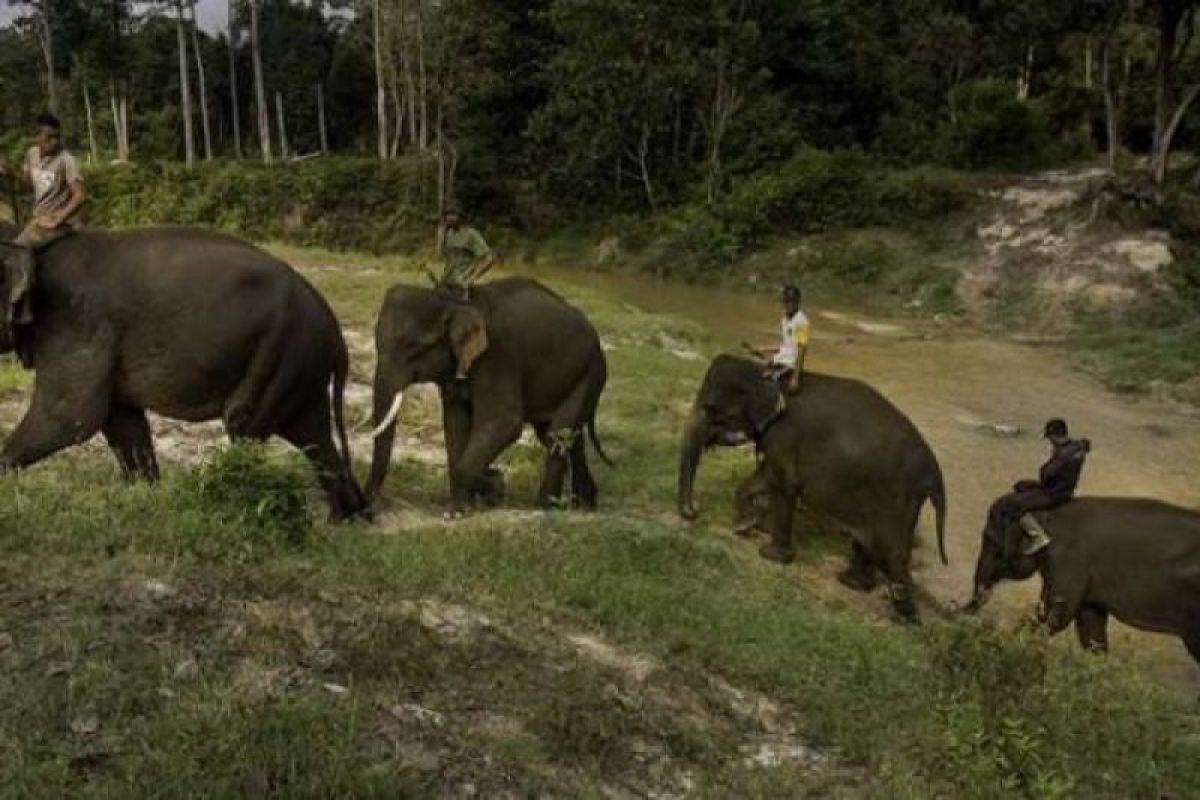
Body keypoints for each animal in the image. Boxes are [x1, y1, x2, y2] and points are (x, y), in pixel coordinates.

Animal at [0, 225, 367, 520]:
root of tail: (335, 332)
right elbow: (122, 422)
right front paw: (145, 500)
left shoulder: (78, 324)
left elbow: (71, 418)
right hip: (300, 365)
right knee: (312, 435)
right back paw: (345, 518)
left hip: (282, 352)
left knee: (244, 425)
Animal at [364, 277, 609, 513]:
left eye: (414, 347)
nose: (372, 509)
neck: (454, 302)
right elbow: (455, 422)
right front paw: (460, 509)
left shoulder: (498, 356)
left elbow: (505, 422)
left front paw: (496, 485)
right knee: (563, 436)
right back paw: (584, 504)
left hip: (590, 372)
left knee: (558, 433)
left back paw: (546, 506)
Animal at [676, 355, 945, 618]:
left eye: (711, 409)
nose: (694, 510)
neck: (764, 372)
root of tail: (933, 469)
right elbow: (764, 475)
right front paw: (744, 526)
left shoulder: (785, 435)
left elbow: (783, 483)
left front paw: (770, 555)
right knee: (868, 543)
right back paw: (851, 583)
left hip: (896, 499)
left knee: (891, 554)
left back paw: (901, 617)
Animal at [964, 496, 1200, 686]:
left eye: (990, 540)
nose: (962, 614)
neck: (1049, 511)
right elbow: (1090, 627)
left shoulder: (1067, 560)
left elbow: (1055, 617)